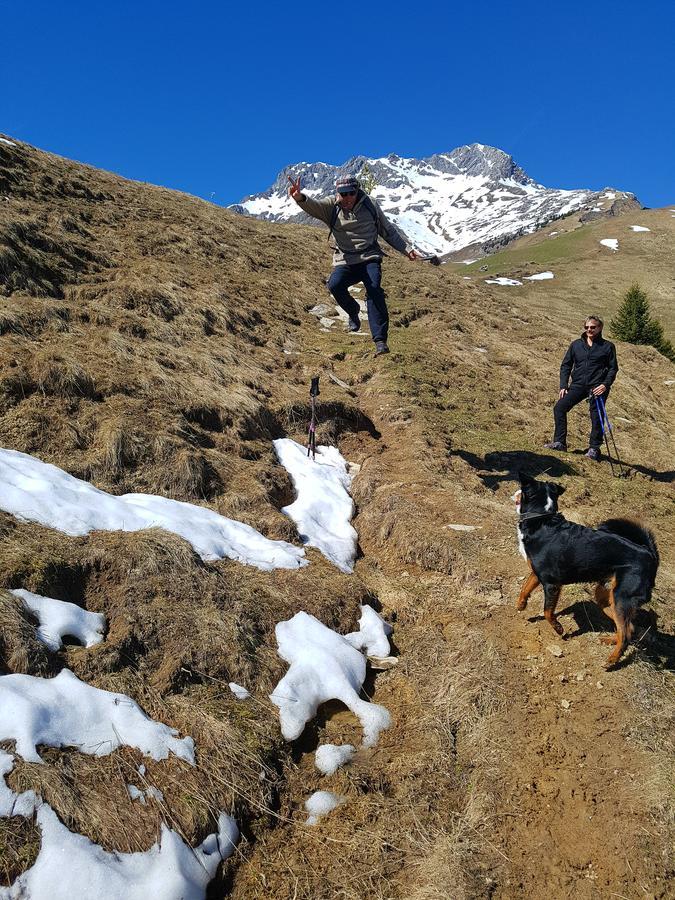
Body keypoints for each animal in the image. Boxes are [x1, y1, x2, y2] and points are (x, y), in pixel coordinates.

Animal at [512, 474, 660, 664]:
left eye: (522, 489)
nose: (514, 492)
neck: (543, 519)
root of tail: (648, 553)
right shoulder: (537, 574)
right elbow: (525, 588)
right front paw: (521, 604)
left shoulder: (552, 584)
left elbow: (547, 611)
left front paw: (559, 628)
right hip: (608, 598)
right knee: (628, 628)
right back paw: (609, 641)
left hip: (622, 598)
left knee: (626, 634)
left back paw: (612, 660)